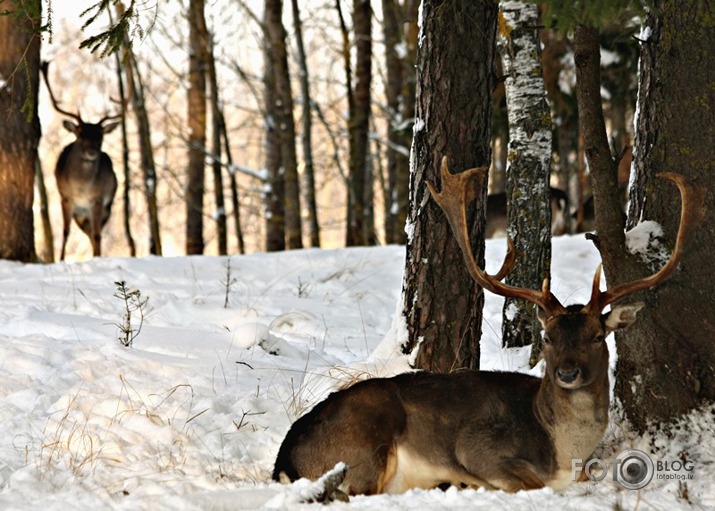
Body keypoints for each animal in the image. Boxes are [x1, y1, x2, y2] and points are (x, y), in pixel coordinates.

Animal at [41, 61, 120, 260]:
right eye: (80, 134)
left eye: (100, 137)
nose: (92, 152)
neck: (81, 187)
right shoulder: (66, 198)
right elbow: (65, 232)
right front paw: (60, 259)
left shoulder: (98, 200)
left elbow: (97, 234)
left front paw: (97, 257)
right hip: (80, 213)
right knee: (88, 231)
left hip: (106, 207)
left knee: (94, 233)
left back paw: (97, 254)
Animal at [274, 157, 704, 500]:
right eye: (547, 337)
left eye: (598, 337)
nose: (567, 373)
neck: (564, 450)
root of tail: (285, 458)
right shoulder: (480, 448)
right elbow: (531, 483)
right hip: (367, 442)